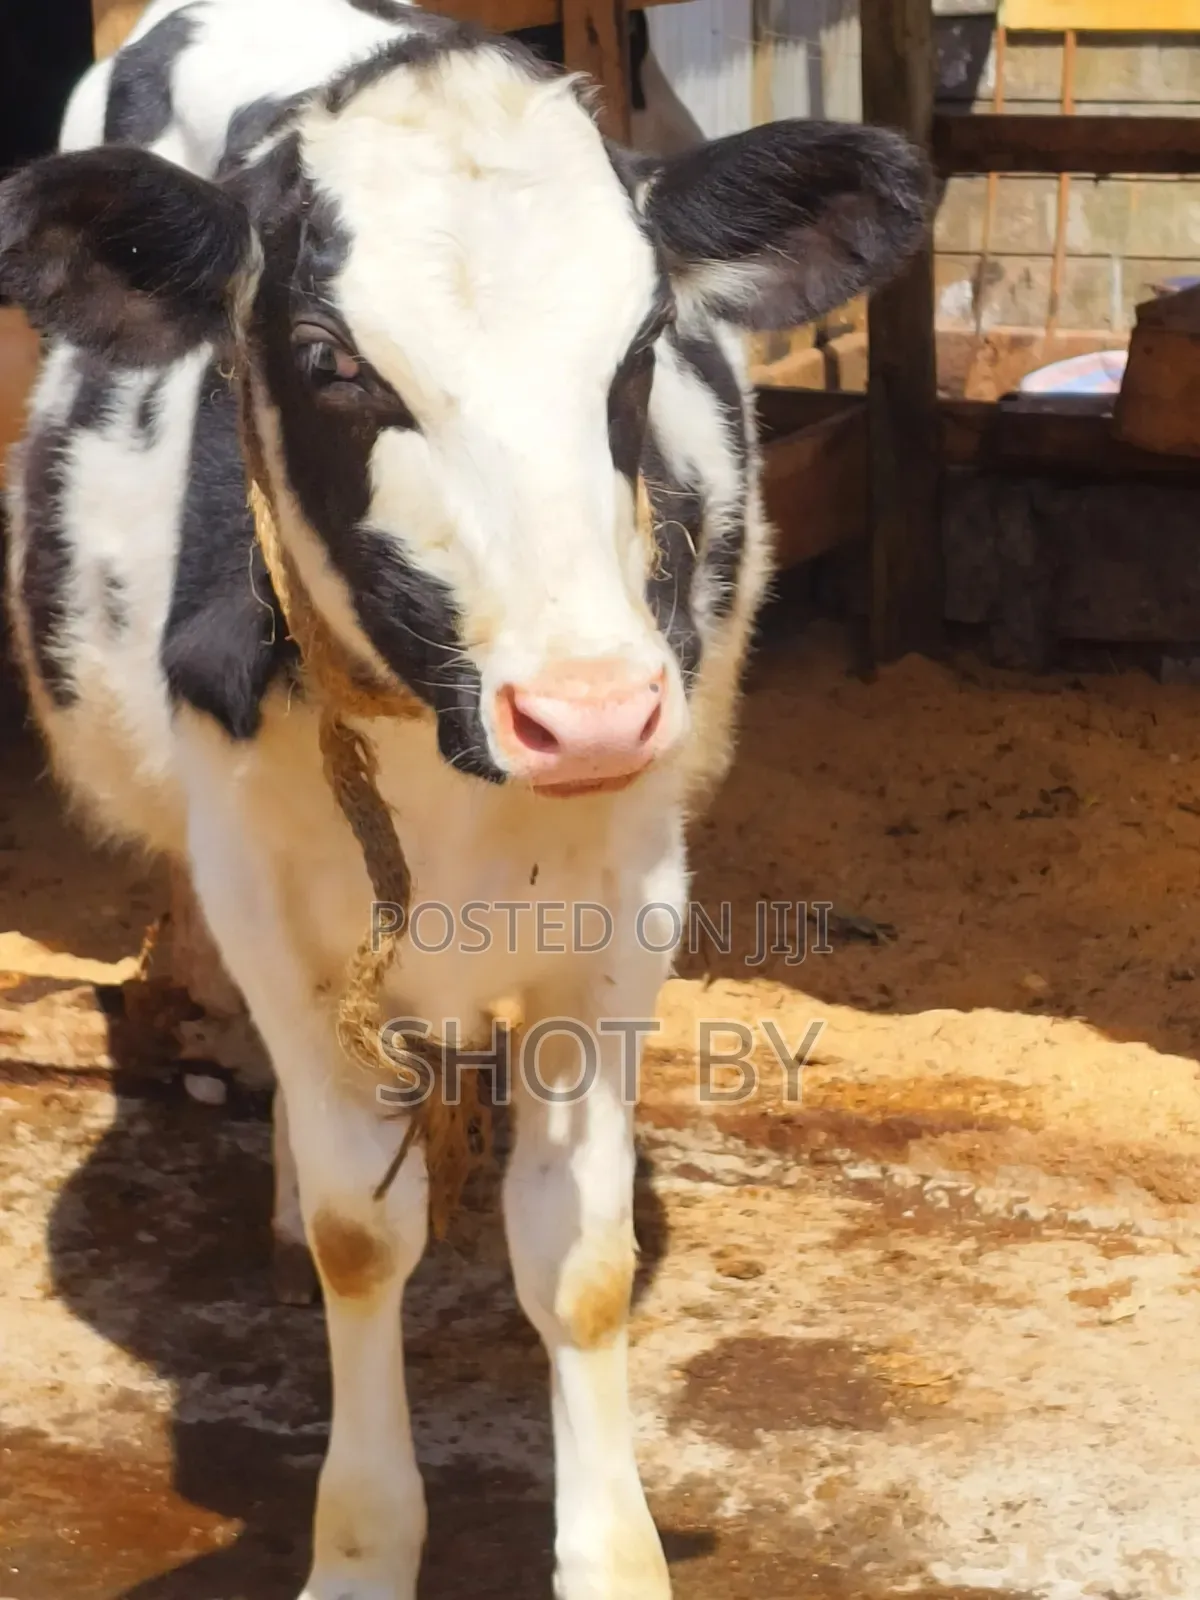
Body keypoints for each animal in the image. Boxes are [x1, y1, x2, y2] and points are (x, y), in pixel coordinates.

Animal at [0, 2, 929, 1595]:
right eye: (328, 357)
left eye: (643, 345)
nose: (591, 708)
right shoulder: (268, 901)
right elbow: (359, 1238)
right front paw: (364, 1546)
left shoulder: (629, 904)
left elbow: (581, 1257)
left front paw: (614, 1556)